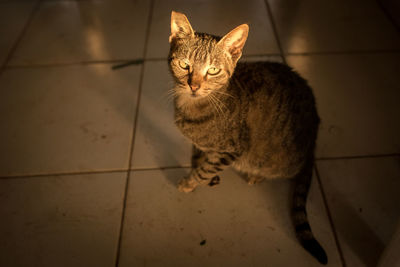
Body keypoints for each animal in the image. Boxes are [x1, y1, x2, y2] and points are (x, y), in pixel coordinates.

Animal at [169, 10, 328, 266]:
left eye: (213, 70)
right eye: (184, 65)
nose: (193, 86)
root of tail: (313, 136)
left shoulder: (231, 149)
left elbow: (204, 169)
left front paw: (190, 182)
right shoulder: (200, 145)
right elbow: (198, 159)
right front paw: (197, 175)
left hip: (278, 161)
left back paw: (257, 175)